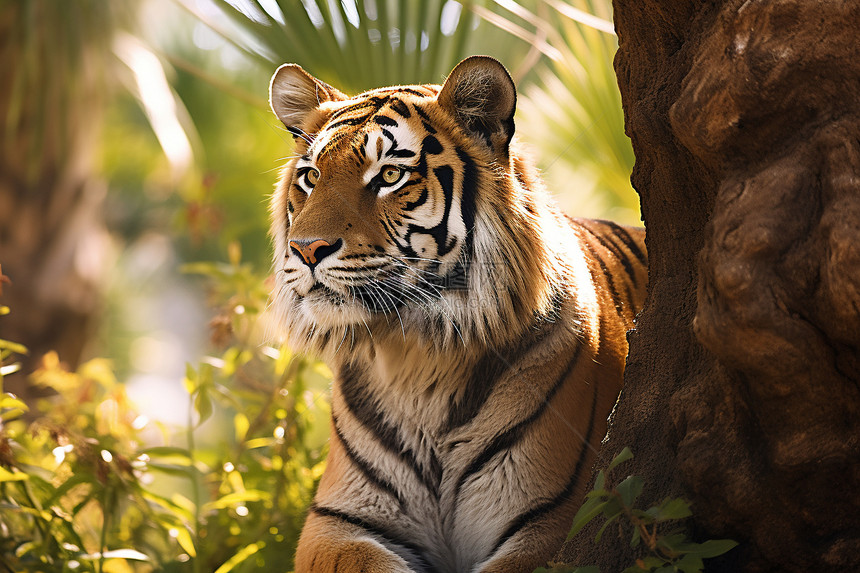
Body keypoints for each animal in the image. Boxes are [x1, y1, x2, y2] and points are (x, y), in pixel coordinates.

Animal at [268, 54, 644, 572]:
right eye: (311, 176)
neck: (418, 360)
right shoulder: (337, 524)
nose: (306, 249)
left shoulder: (556, 522)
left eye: (389, 176)